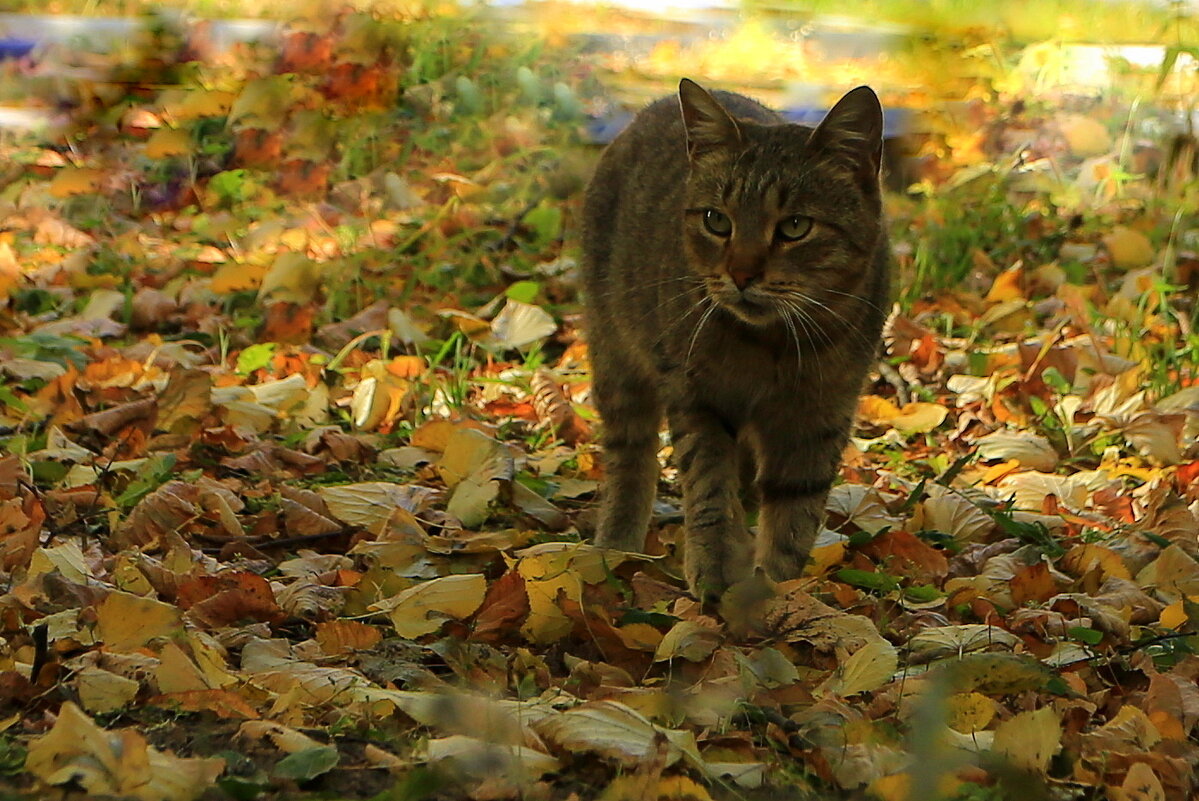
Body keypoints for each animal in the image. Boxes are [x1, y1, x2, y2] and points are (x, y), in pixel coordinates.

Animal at [580, 79, 892, 599]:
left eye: (794, 226)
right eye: (716, 220)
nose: (741, 275)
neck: (774, 347)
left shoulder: (821, 415)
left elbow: (794, 514)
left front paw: (778, 589)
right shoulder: (696, 399)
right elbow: (708, 490)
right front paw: (715, 569)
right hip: (616, 356)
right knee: (631, 454)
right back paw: (616, 545)